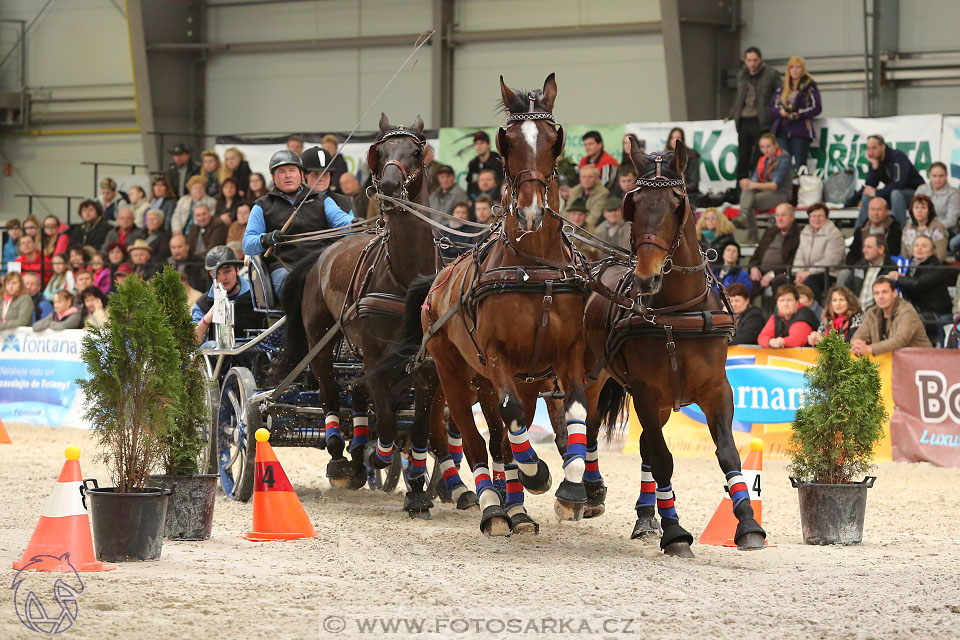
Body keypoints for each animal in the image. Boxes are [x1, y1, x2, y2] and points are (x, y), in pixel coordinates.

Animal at [280, 114, 478, 516]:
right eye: (380, 151)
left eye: (416, 152)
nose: (388, 185)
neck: (404, 276)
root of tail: (325, 250)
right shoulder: (374, 353)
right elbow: (386, 418)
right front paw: (380, 456)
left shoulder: (424, 364)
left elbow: (418, 426)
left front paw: (417, 490)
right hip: (321, 338)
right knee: (329, 391)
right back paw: (342, 455)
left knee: (357, 390)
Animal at [386, 74, 588, 536]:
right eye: (507, 141)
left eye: (554, 139)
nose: (530, 210)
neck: (535, 267)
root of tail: (436, 283)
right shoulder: (497, 355)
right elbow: (510, 420)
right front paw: (534, 473)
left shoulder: (564, 355)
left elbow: (574, 410)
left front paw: (573, 489)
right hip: (452, 374)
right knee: (469, 437)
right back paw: (492, 507)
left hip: (507, 378)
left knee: (497, 436)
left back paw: (515, 509)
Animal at [580, 135, 768, 556]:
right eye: (633, 206)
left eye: (675, 204)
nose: (646, 277)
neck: (678, 311)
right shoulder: (646, 392)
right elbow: (664, 459)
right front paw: (676, 532)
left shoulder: (717, 389)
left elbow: (727, 452)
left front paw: (748, 524)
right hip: (595, 378)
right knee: (590, 424)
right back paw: (591, 491)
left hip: (664, 403)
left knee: (645, 447)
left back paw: (646, 517)